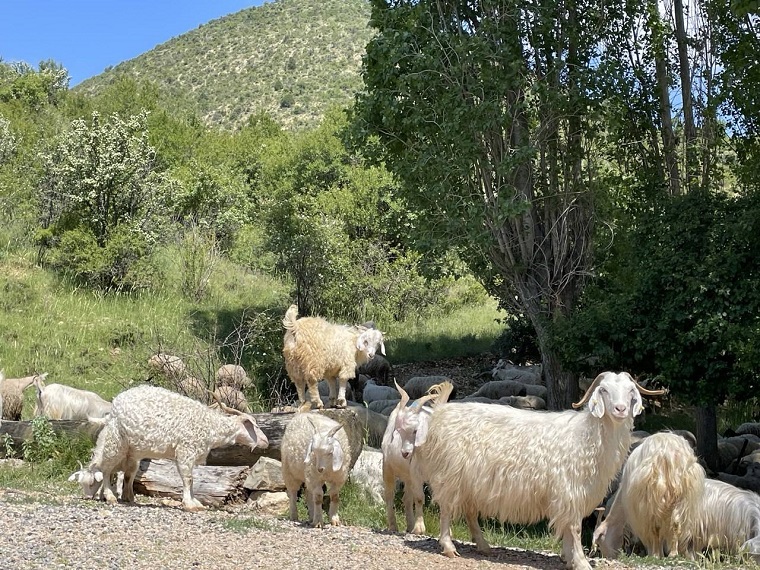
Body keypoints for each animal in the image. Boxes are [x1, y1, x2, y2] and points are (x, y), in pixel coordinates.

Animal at [382, 378, 454, 532]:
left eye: (415, 430)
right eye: (398, 431)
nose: (405, 453)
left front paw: (448, 530)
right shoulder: (416, 473)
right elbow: (420, 498)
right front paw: (419, 528)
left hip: (408, 476)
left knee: (406, 499)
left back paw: (409, 525)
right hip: (388, 467)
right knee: (390, 495)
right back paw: (393, 525)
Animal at [410, 370, 664, 564]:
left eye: (630, 391)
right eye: (604, 390)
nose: (620, 409)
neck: (587, 436)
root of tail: (441, 412)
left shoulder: (573, 494)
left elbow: (568, 527)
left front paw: (568, 557)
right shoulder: (568, 491)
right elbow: (574, 528)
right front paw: (580, 561)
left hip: (471, 481)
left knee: (470, 512)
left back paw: (483, 545)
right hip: (450, 475)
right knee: (446, 509)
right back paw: (448, 546)